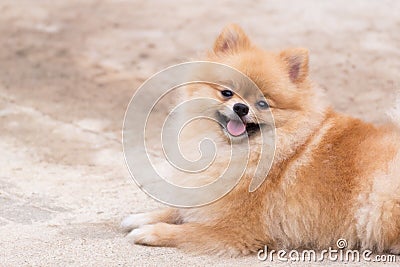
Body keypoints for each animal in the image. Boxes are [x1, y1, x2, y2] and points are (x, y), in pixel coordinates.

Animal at [122, 24, 400, 256]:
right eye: (226, 93)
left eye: (263, 103)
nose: (241, 108)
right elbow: (178, 209)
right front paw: (140, 217)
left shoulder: (236, 230)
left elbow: (187, 230)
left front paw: (149, 231)